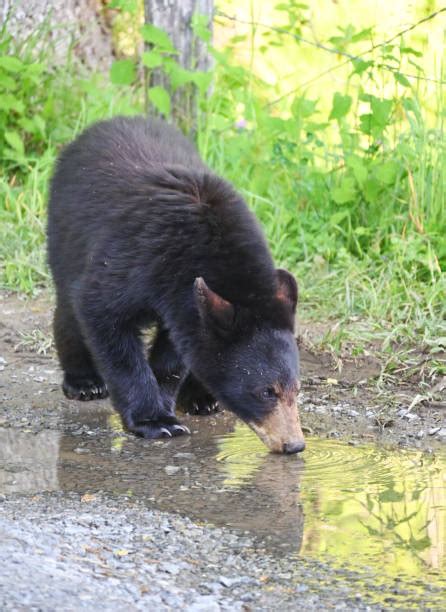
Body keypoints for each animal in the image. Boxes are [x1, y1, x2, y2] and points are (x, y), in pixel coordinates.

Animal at [48, 118, 306, 454]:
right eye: (266, 391)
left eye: (296, 389)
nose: (294, 445)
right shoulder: (134, 260)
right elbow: (102, 314)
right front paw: (155, 421)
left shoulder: (184, 301)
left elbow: (177, 348)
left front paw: (169, 394)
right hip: (66, 236)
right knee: (68, 305)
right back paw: (84, 382)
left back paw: (200, 399)